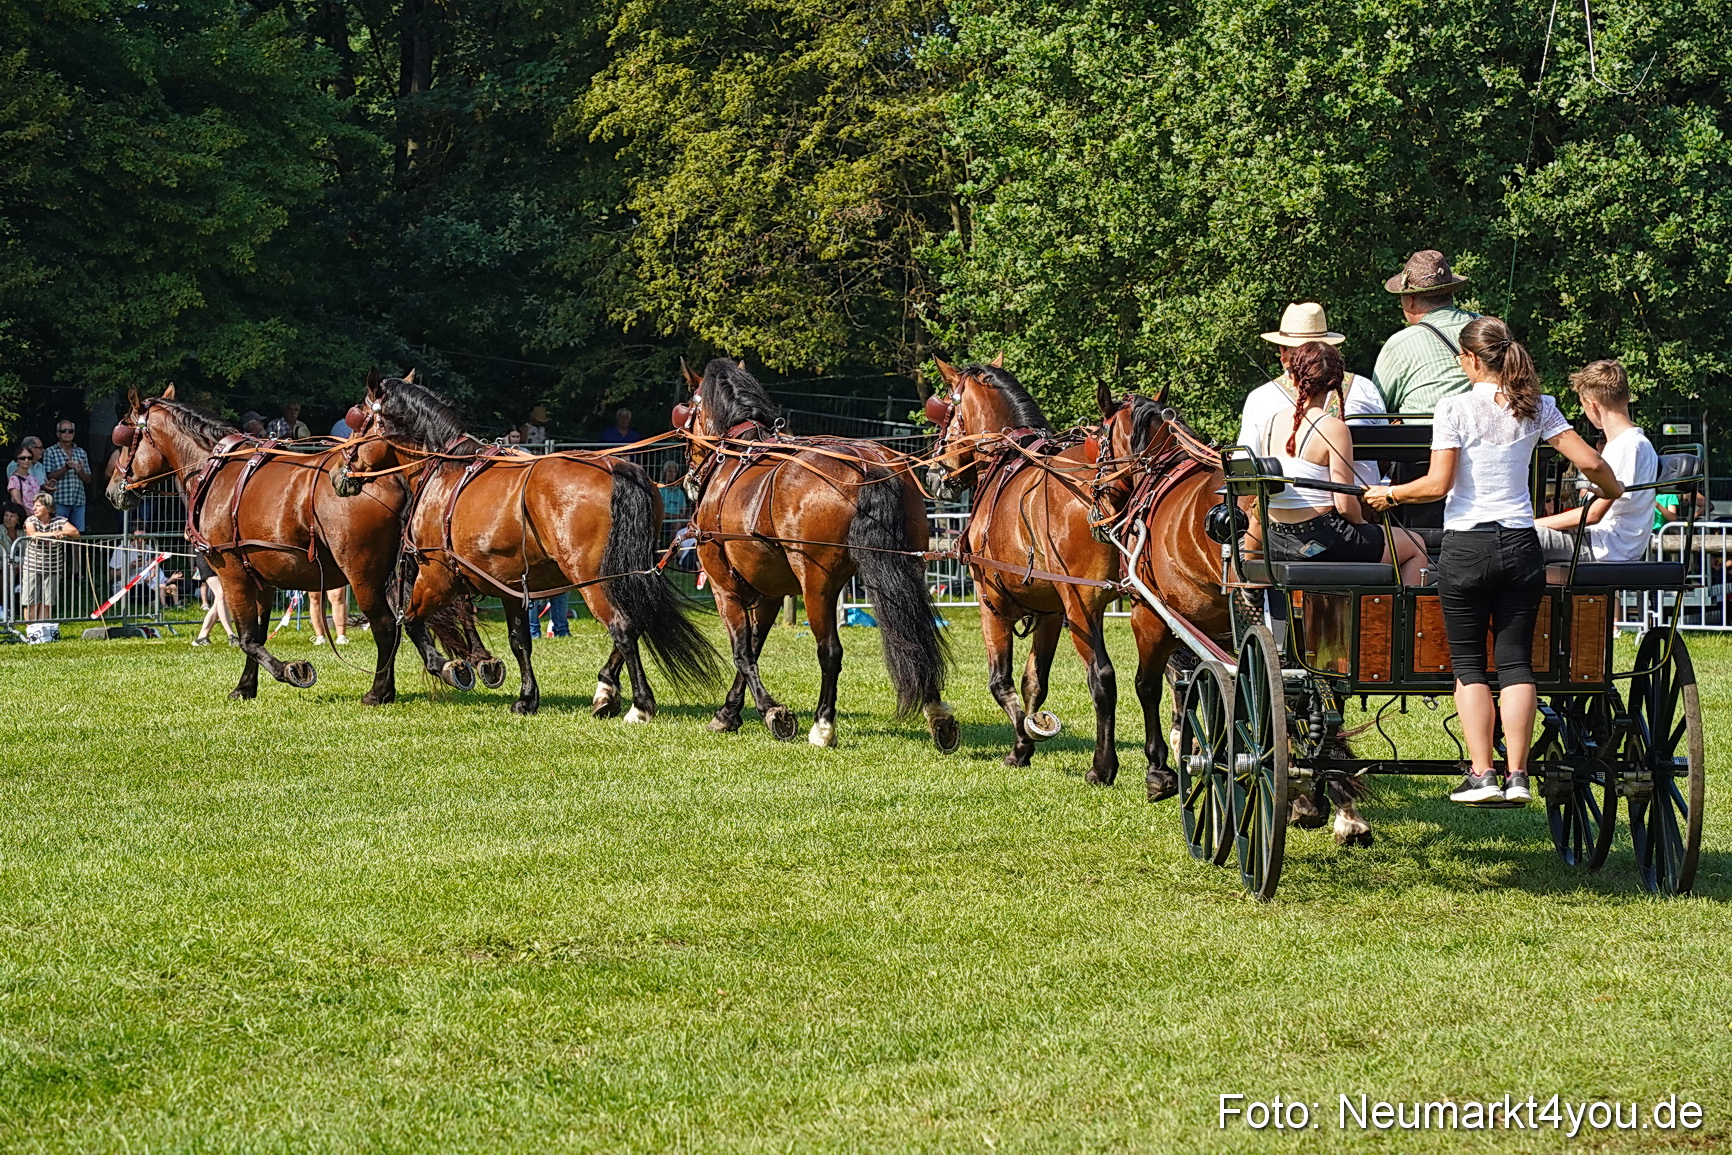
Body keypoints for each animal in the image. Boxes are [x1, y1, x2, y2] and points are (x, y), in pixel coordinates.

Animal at [105, 384, 437, 704]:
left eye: (124, 437)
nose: (111, 491)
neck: (215, 470)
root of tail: (392, 478)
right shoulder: (261, 579)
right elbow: (258, 635)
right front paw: (246, 687)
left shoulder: (233, 574)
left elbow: (247, 639)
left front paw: (290, 671)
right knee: (408, 620)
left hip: (363, 575)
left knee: (386, 626)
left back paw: (379, 691)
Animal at [350, 373, 720, 718]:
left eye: (357, 419)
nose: (345, 473)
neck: (447, 469)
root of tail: (615, 466)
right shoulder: (510, 585)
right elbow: (520, 641)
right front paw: (527, 697)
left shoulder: (438, 575)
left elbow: (410, 621)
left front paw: (449, 668)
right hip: (628, 574)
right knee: (637, 621)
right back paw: (605, 691)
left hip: (592, 579)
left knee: (623, 627)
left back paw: (640, 703)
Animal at [676, 357, 957, 750]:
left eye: (688, 410)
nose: (689, 477)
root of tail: (868, 462)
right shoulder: (771, 592)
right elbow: (755, 647)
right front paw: (729, 712)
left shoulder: (723, 587)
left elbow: (742, 651)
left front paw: (772, 712)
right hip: (908, 568)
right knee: (917, 635)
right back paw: (939, 717)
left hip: (817, 585)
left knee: (830, 651)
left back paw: (823, 726)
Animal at [924, 358, 1129, 784]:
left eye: (947, 414)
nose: (934, 475)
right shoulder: (1050, 612)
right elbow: (1034, 682)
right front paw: (1031, 733)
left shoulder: (991, 603)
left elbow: (1000, 682)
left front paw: (1021, 745)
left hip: (1084, 606)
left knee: (1102, 677)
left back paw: (1102, 767)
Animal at [1090, 388, 1373, 845]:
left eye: (1099, 439)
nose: (1097, 506)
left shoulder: (1151, 616)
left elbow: (1150, 686)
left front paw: (1161, 771)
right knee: (1317, 703)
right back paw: (1331, 802)